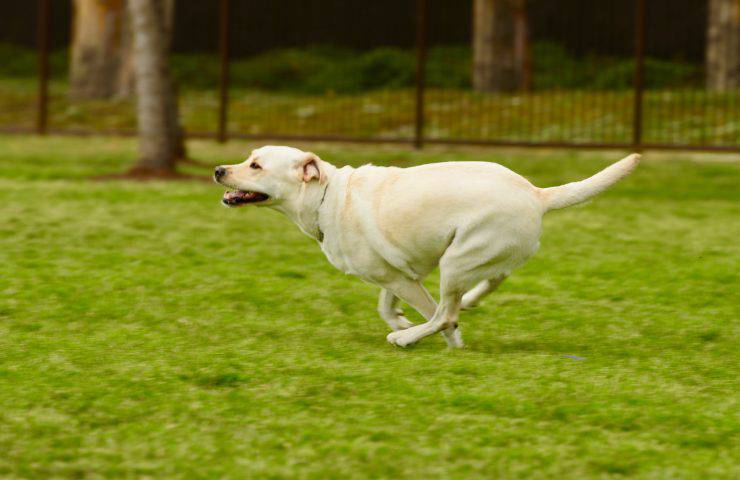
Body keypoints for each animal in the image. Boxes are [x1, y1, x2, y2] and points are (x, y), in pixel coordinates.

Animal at [212, 146, 636, 348]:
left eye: (255, 165)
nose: (218, 170)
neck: (325, 195)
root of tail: (537, 193)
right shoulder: (395, 272)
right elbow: (385, 304)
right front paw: (401, 319)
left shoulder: (401, 277)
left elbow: (432, 313)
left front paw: (445, 342)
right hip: (475, 257)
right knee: (493, 279)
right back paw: (468, 301)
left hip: (456, 261)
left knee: (446, 313)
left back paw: (408, 339)